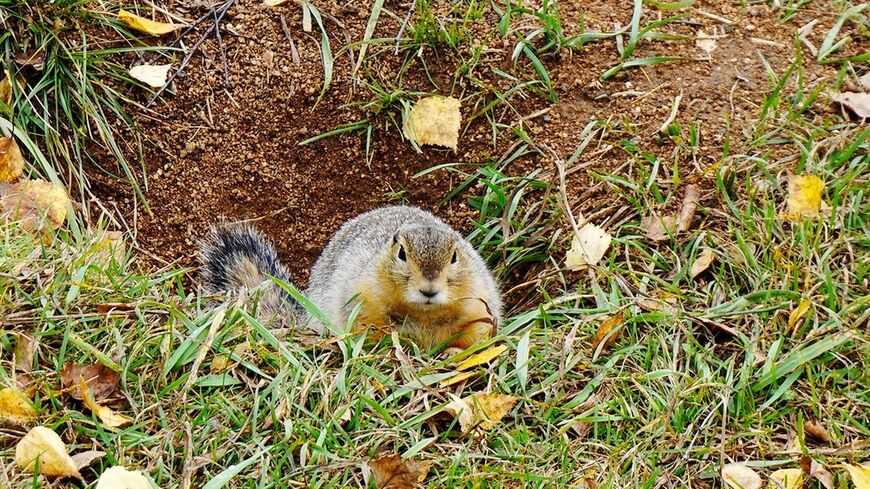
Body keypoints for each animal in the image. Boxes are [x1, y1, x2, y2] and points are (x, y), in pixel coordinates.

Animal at [202, 204, 504, 348]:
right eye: (401, 253)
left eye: (454, 256)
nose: (429, 289)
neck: (423, 314)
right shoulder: (364, 298)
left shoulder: (478, 304)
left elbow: (476, 335)